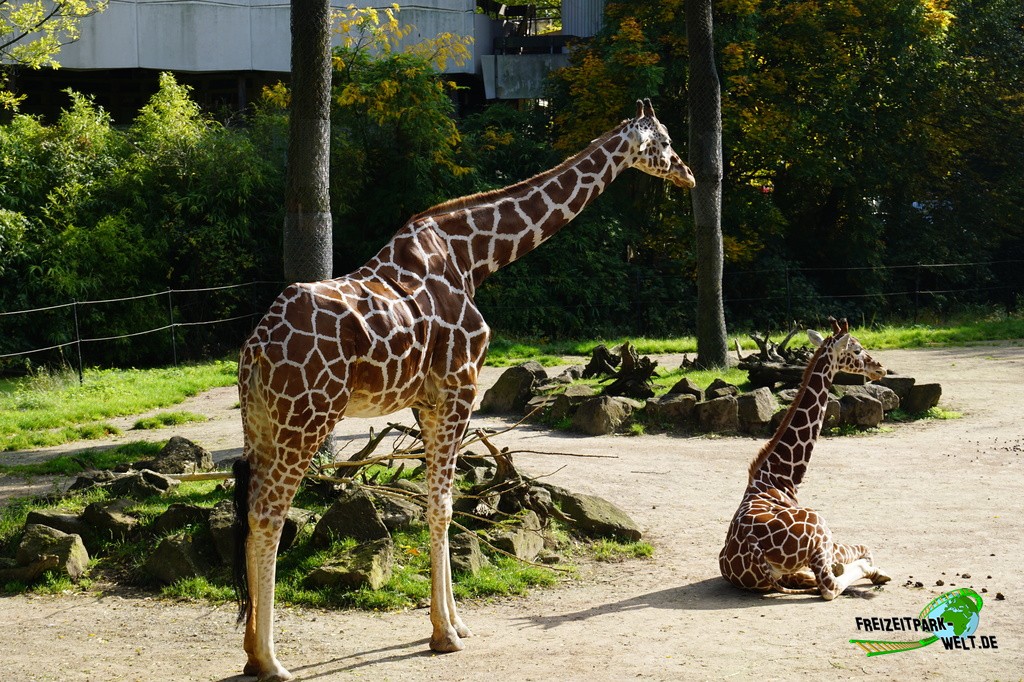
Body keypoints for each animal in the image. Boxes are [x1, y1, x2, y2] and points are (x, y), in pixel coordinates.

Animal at [234, 98, 696, 675]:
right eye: (665, 139)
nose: (689, 174)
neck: (474, 256)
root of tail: (255, 349)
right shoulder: (460, 388)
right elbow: (443, 507)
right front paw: (443, 634)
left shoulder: (426, 402)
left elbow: (445, 505)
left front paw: (455, 623)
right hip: (307, 417)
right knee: (269, 516)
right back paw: (273, 661)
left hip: (262, 423)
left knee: (251, 513)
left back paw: (251, 654)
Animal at [716, 315, 892, 598]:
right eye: (856, 350)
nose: (880, 368)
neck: (781, 477)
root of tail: (755, 549)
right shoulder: (830, 542)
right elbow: (866, 549)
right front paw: (877, 573)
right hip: (820, 529)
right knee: (829, 586)